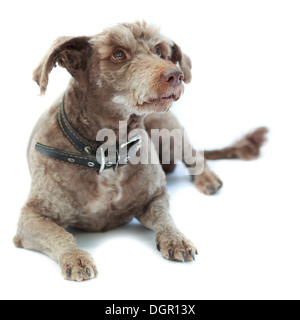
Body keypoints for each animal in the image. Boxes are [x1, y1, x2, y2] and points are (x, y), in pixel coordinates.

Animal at [14, 21, 268, 282]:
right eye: (118, 54)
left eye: (159, 51)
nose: (176, 75)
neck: (110, 152)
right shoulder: (31, 217)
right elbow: (60, 234)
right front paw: (76, 257)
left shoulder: (155, 197)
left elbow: (165, 217)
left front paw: (175, 239)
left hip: (170, 129)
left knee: (195, 156)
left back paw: (207, 178)